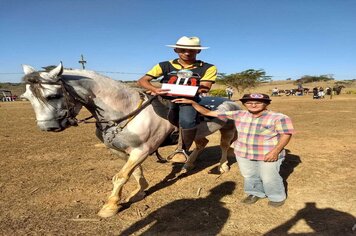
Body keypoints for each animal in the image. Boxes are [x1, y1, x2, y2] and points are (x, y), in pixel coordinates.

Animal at [21, 62, 239, 218]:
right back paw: (187, 164)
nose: (48, 127)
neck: (125, 110)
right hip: (201, 132)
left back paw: (222, 166)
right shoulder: (121, 151)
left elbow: (120, 176)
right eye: (27, 97)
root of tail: (231, 102)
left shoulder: (142, 150)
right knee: (201, 144)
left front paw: (110, 206)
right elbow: (134, 172)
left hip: (227, 129)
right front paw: (140, 191)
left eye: (53, 96)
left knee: (224, 146)